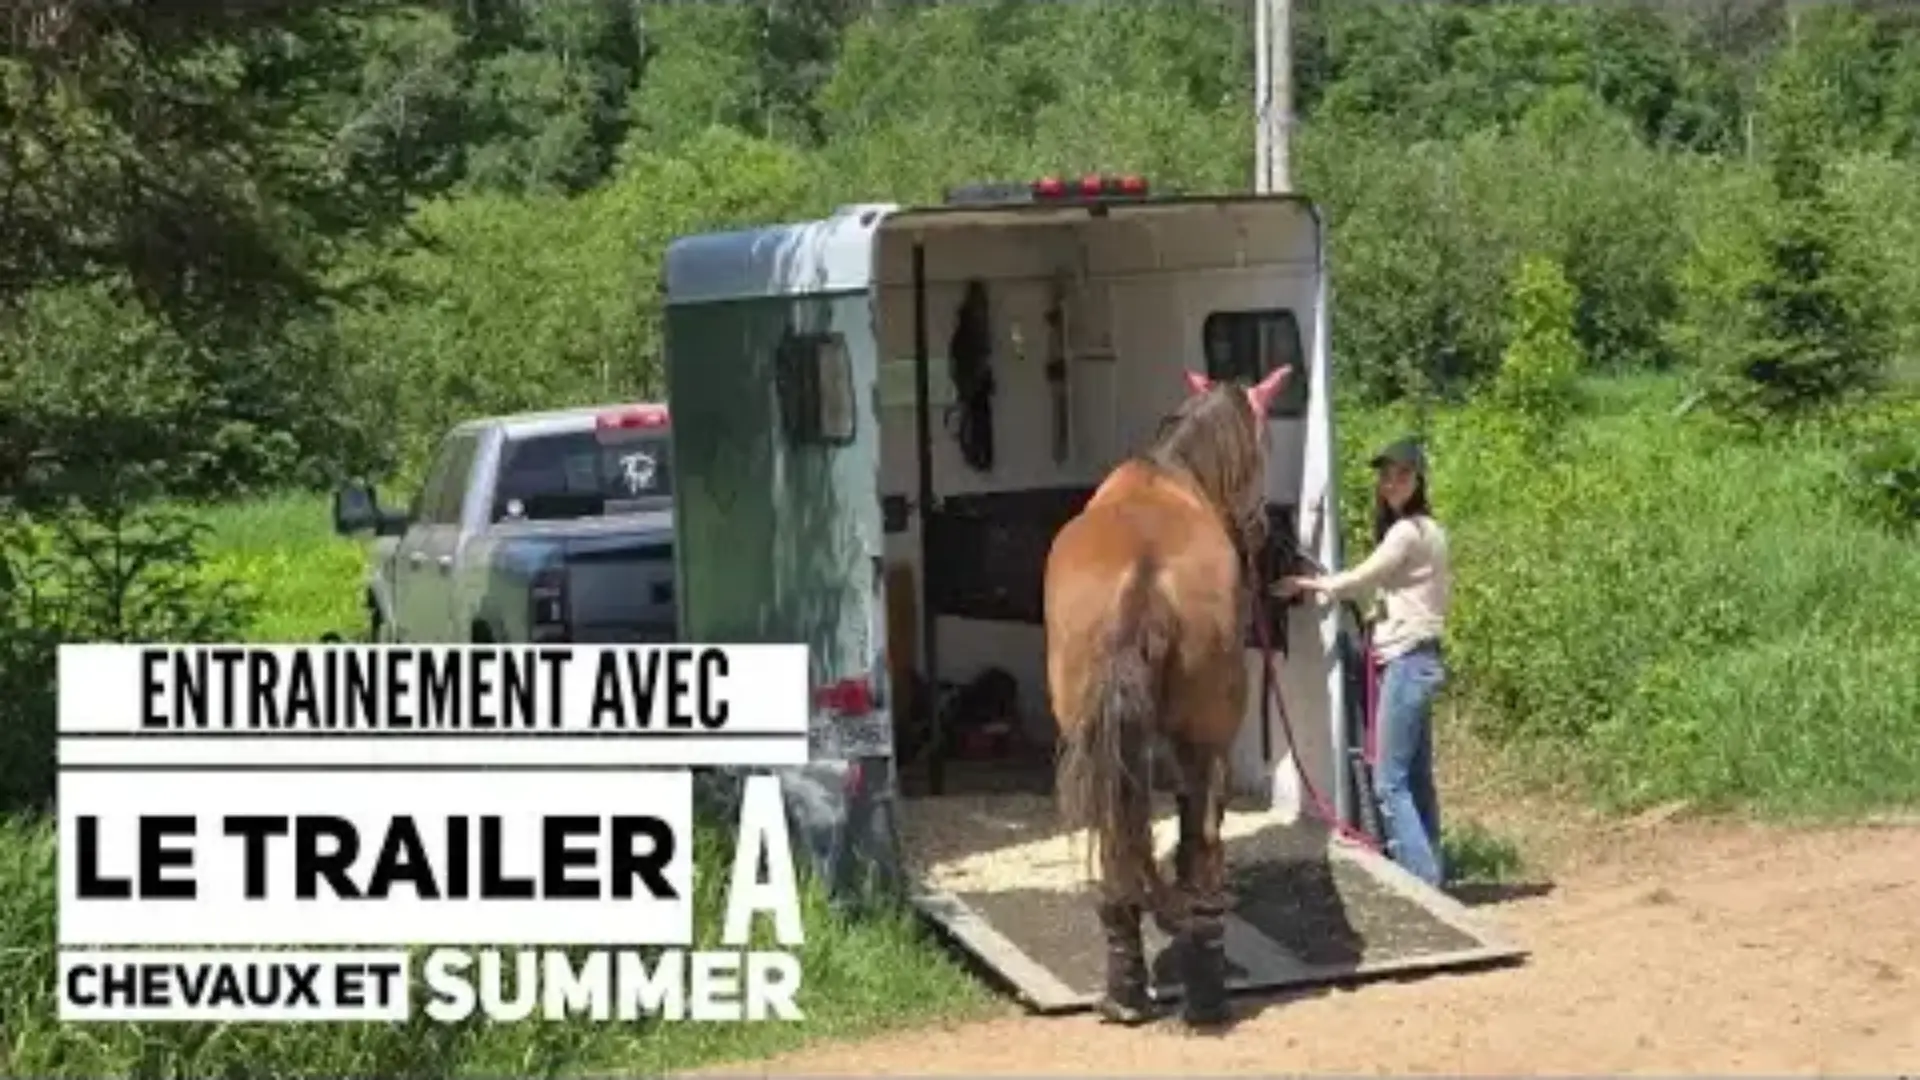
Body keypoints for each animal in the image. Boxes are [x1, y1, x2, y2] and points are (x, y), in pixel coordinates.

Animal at [1044, 367, 1282, 1022]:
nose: (1260, 527)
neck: (1172, 472)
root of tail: (1141, 580)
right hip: (1205, 742)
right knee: (1199, 845)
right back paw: (1205, 987)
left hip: (1099, 743)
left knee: (1119, 845)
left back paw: (1123, 992)